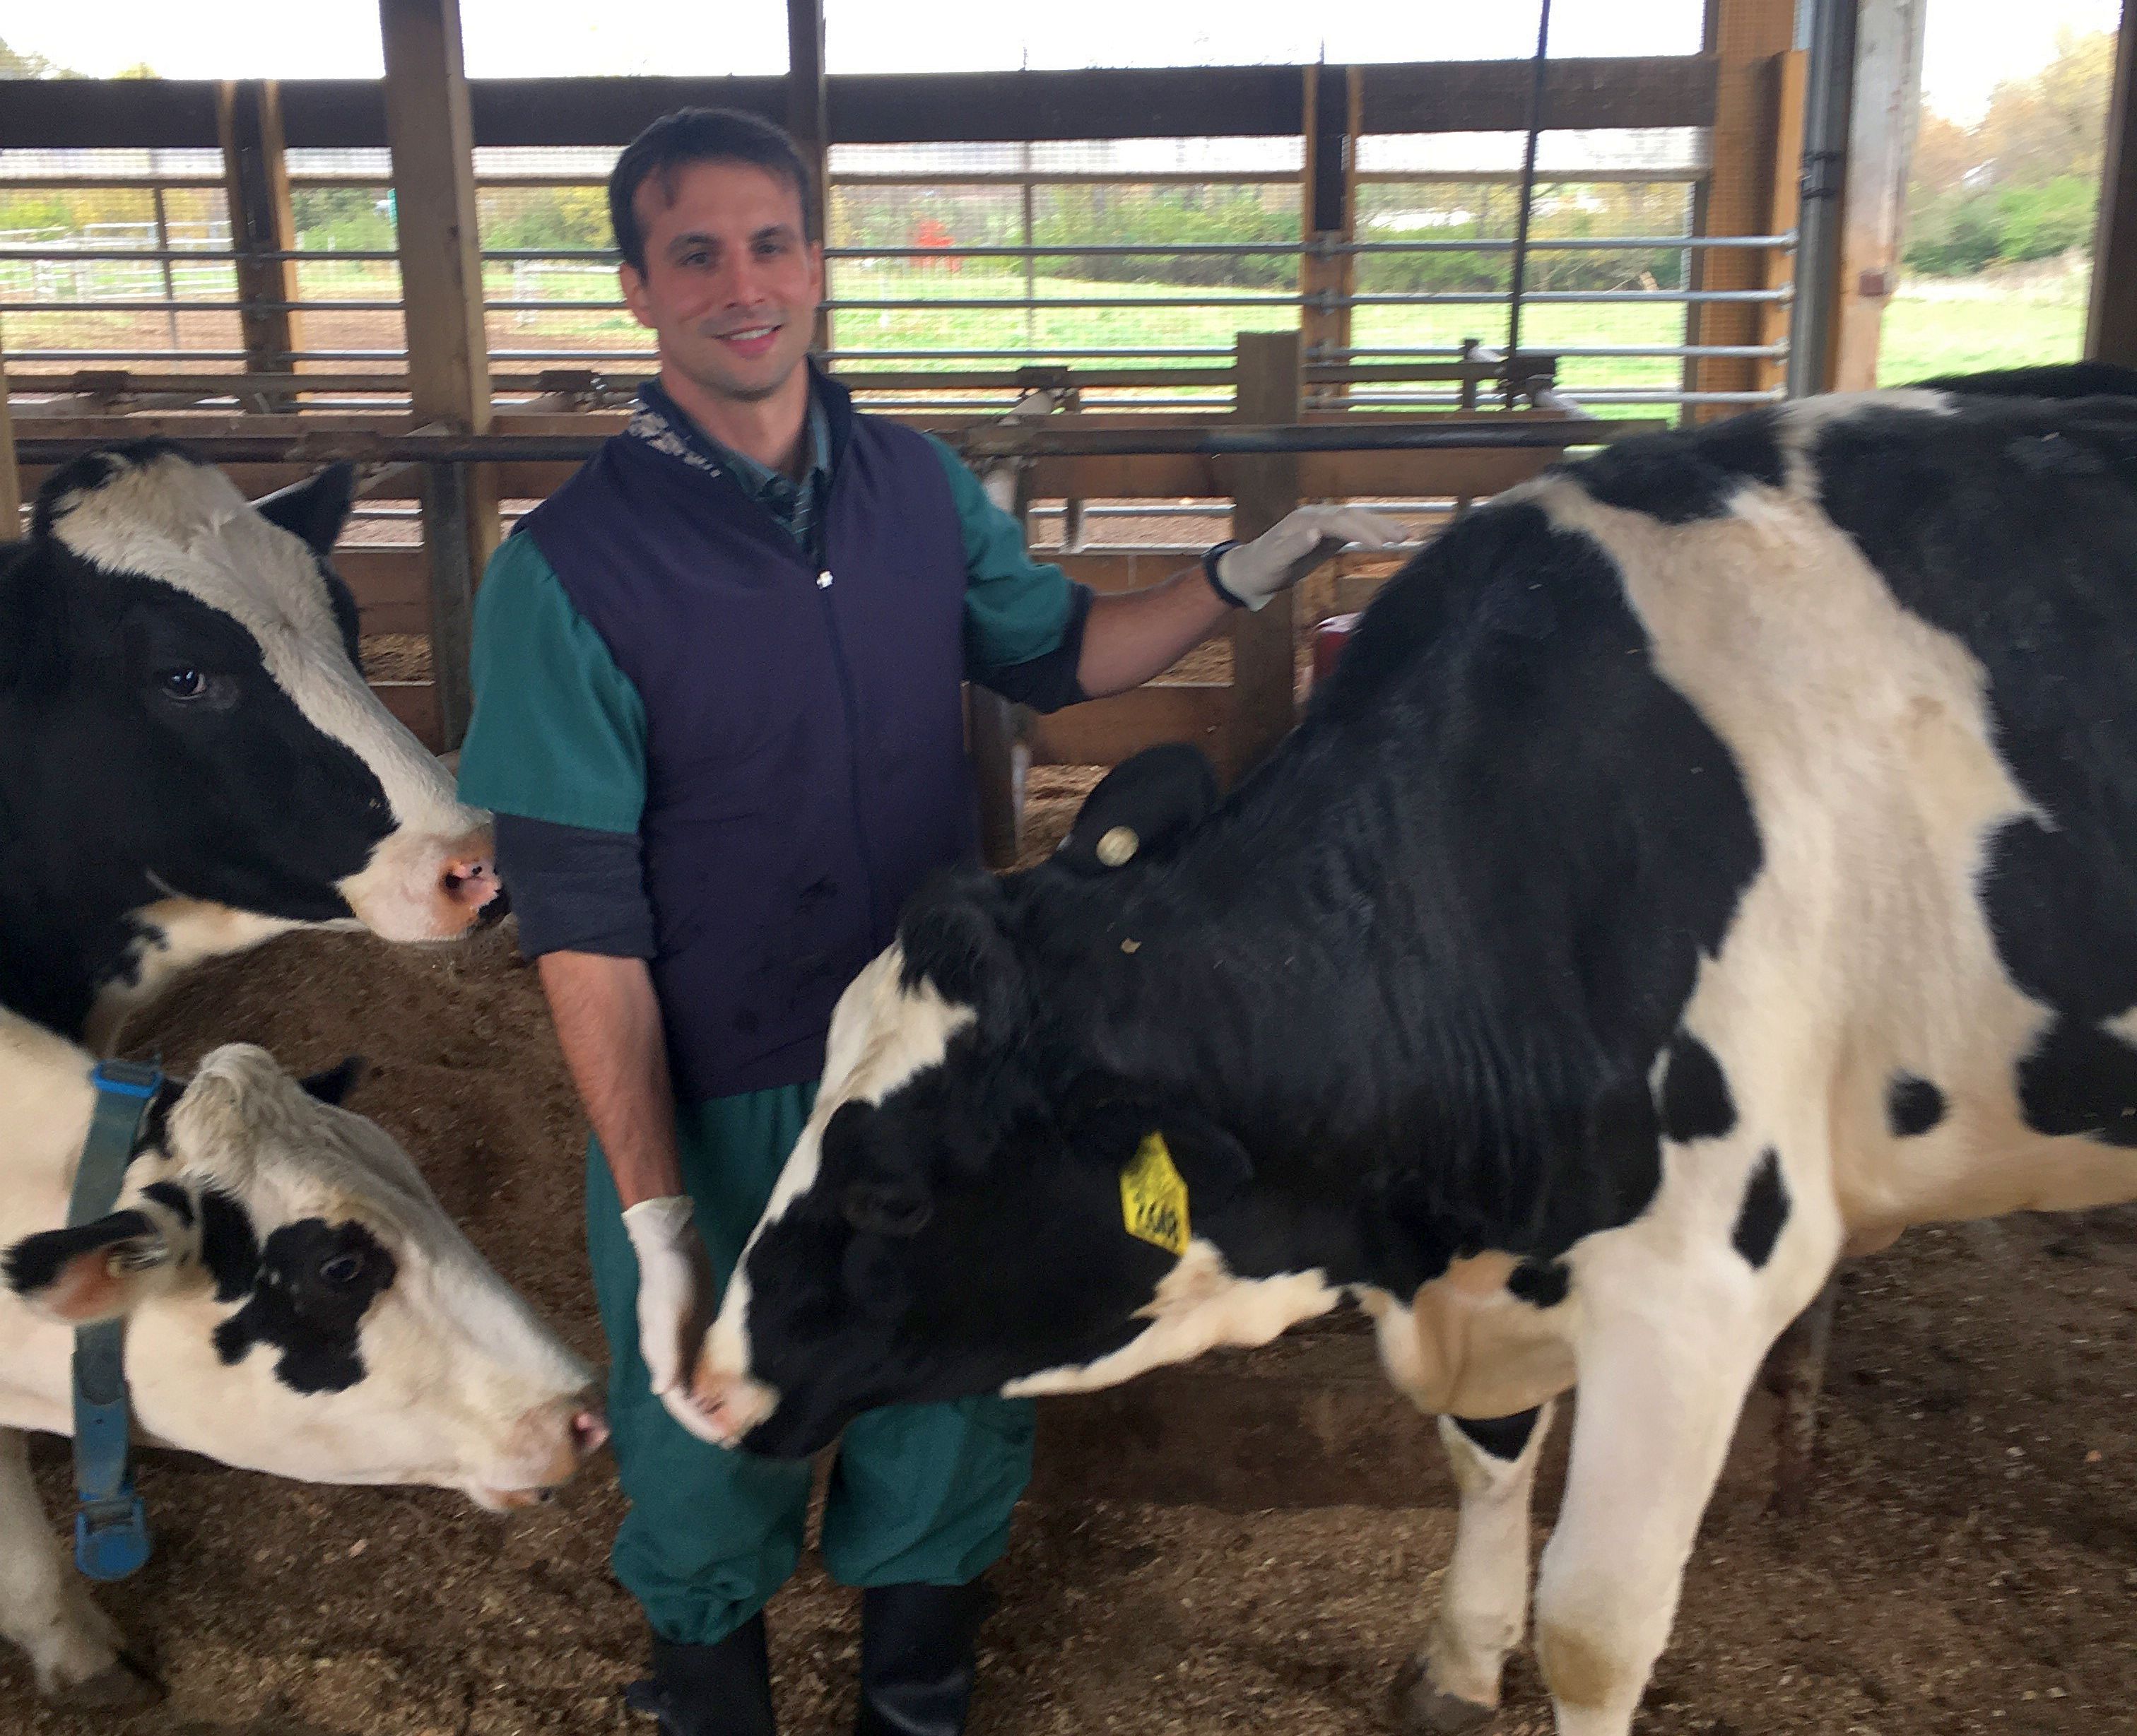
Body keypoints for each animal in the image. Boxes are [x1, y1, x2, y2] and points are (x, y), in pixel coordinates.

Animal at [692, 372, 2137, 1727]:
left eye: (892, 1193)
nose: (706, 1383)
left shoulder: (1704, 1285)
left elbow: (1596, 1627)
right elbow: (1482, 1455)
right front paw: (1458, 1661)